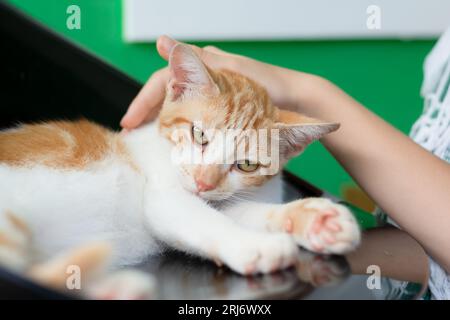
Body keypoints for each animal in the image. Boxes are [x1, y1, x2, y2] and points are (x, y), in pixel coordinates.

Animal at [0, 43, 358, 298]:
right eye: (198, 134)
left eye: (246, 164)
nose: (202, 182)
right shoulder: (164, 197)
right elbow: (204, 219)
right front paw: (255, 245)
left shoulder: (220, 198)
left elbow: (242, 211)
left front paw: (316, 219)